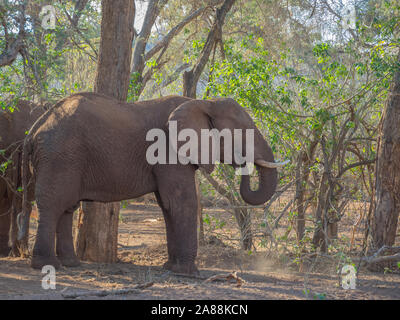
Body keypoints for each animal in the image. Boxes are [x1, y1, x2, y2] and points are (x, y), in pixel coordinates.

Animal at [17, 92, 282, 276]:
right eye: (243, 132)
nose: (243, 163)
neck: (203, 102)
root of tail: (35, 128)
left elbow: (167, 205)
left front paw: (171, 267)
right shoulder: (168, 150)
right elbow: (181, 201)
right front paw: (190, 274)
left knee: (66, 207)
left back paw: (71, 264)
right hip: (59, 156)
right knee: (53, 204)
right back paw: (47, 266)